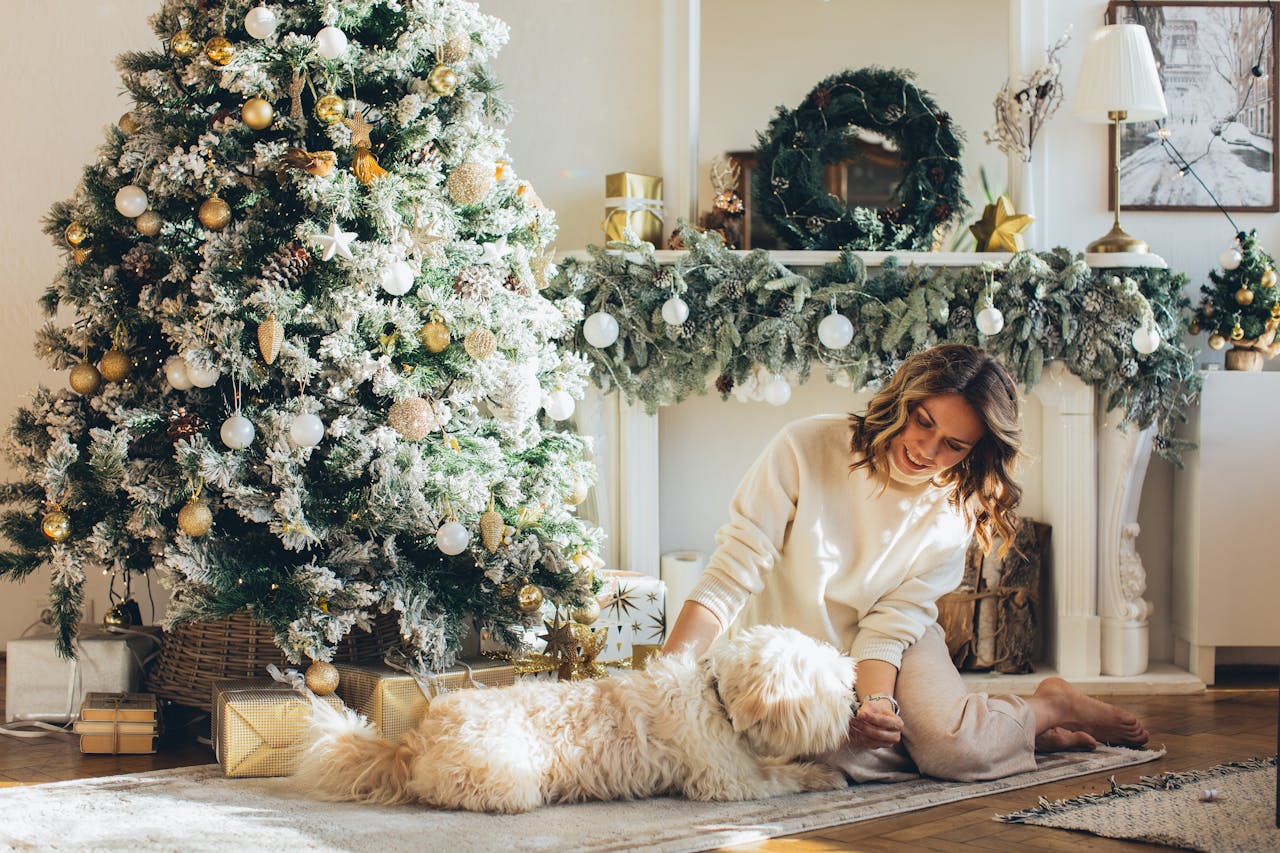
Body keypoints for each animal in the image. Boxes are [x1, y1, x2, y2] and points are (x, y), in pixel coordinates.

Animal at [294, 625, 855, 809]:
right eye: (828, 684)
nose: (854, 704)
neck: (717, 697)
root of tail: (414, 741)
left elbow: (778, 767)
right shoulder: (729, 782)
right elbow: (782, 778)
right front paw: (822, 775)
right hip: (510, 779)